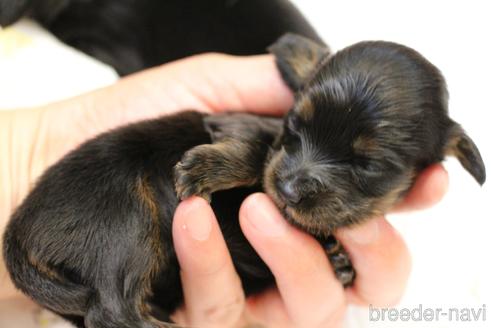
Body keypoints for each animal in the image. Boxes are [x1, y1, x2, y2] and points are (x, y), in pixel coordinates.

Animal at [1, 34, 486, 326]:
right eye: (293, 127)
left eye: (368, 165)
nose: (288, 190)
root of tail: (17, 235)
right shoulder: (234, 124)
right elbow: (255, 148)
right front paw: (204, 167)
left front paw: (338, 259)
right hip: (124, 222)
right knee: (111, 310)